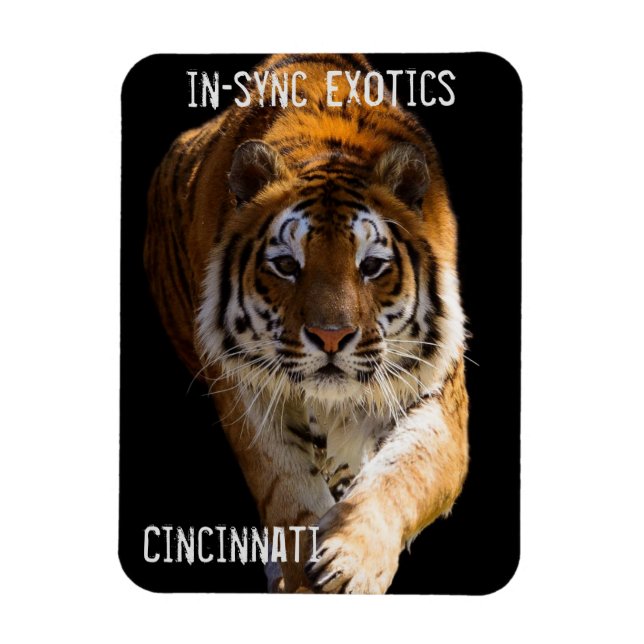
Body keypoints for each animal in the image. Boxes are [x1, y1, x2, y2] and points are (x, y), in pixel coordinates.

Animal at [144, 53, 469, 594]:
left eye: (370, 266)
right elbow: (287, 487)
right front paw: (301, 576)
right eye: (286, 265)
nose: (331, 337)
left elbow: (403, 474)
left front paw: (351, 561)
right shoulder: (244, 388)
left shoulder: (436, 391)